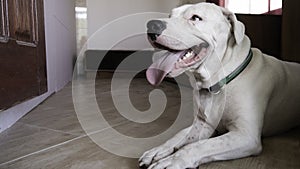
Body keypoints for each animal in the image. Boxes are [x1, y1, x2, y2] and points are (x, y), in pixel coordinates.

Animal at [139, 2, 300, 169]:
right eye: (170, 16)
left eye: (195, 18)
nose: (151, 25)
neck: (219, 81)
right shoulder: (204, 124)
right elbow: (180, 136)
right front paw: (158, 150)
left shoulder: (245, 135)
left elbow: (197, 146)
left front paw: (174, 159)